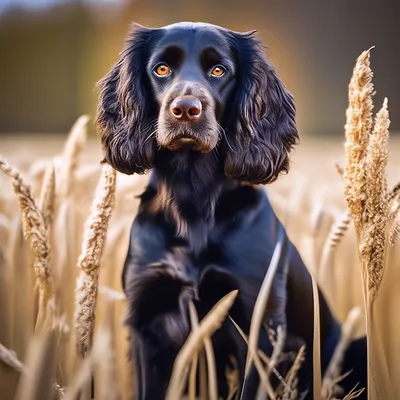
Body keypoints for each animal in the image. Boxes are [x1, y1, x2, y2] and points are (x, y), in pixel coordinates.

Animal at [96, 22, 366, 400]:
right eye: (161, 69)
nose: (185, 109)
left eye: (218, 70)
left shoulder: (260, 326)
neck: (193, 200)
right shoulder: (147, 322)